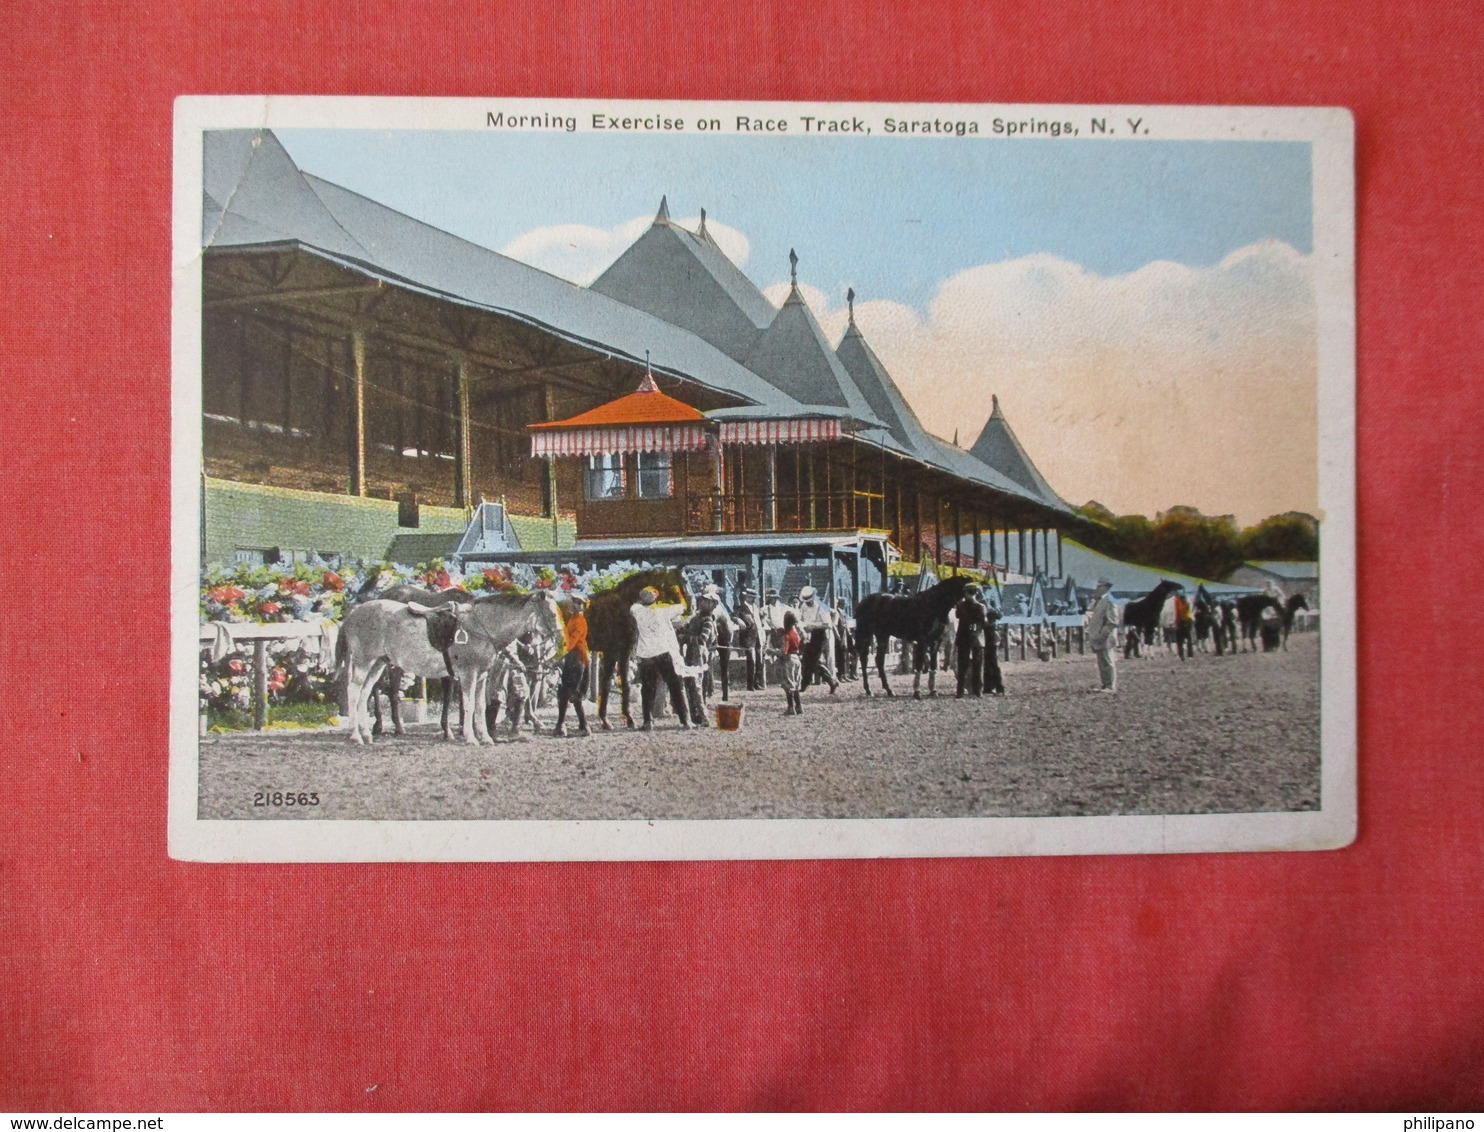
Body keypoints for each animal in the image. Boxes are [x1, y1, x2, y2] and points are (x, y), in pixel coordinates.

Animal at [581, 566, 691, 735]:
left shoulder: (615, 654)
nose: (690, 607)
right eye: (683, 580)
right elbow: (620, 684)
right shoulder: (618, 653)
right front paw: (626, 720)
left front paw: (608, 721)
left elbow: (610, 684)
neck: (623, 606)